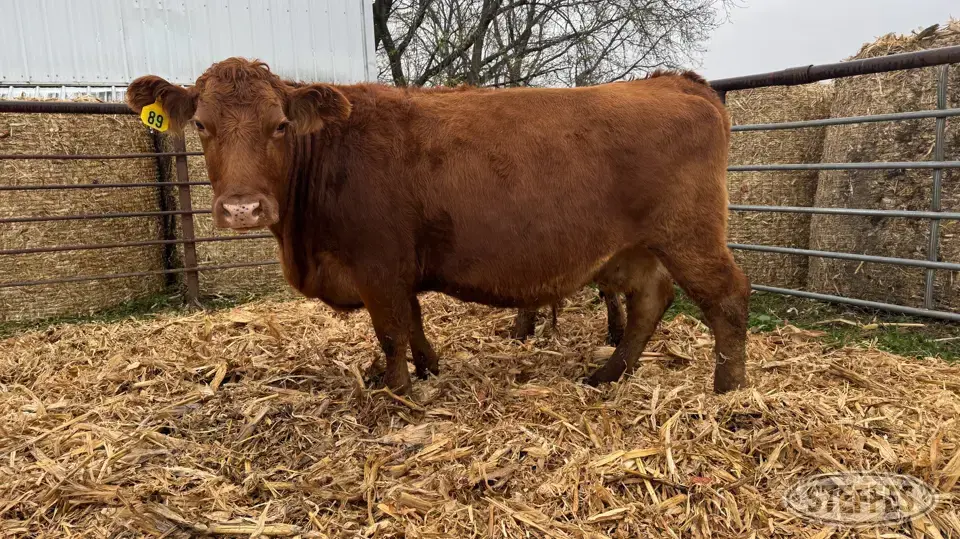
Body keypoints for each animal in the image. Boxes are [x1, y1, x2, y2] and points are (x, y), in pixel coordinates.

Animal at [126, 58, 749, 395]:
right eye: (201, 125)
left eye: (279, 126)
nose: (242, 209)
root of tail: (675, 81)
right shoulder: (399, 269)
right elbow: (415, 323)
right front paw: (427, 370)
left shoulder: (378, 265)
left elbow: (391, 330)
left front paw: (397, 394)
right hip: (634, 249)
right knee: (651, 299)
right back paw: (609, 375)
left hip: (689, 235)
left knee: (727, 297)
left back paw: (730, 390)